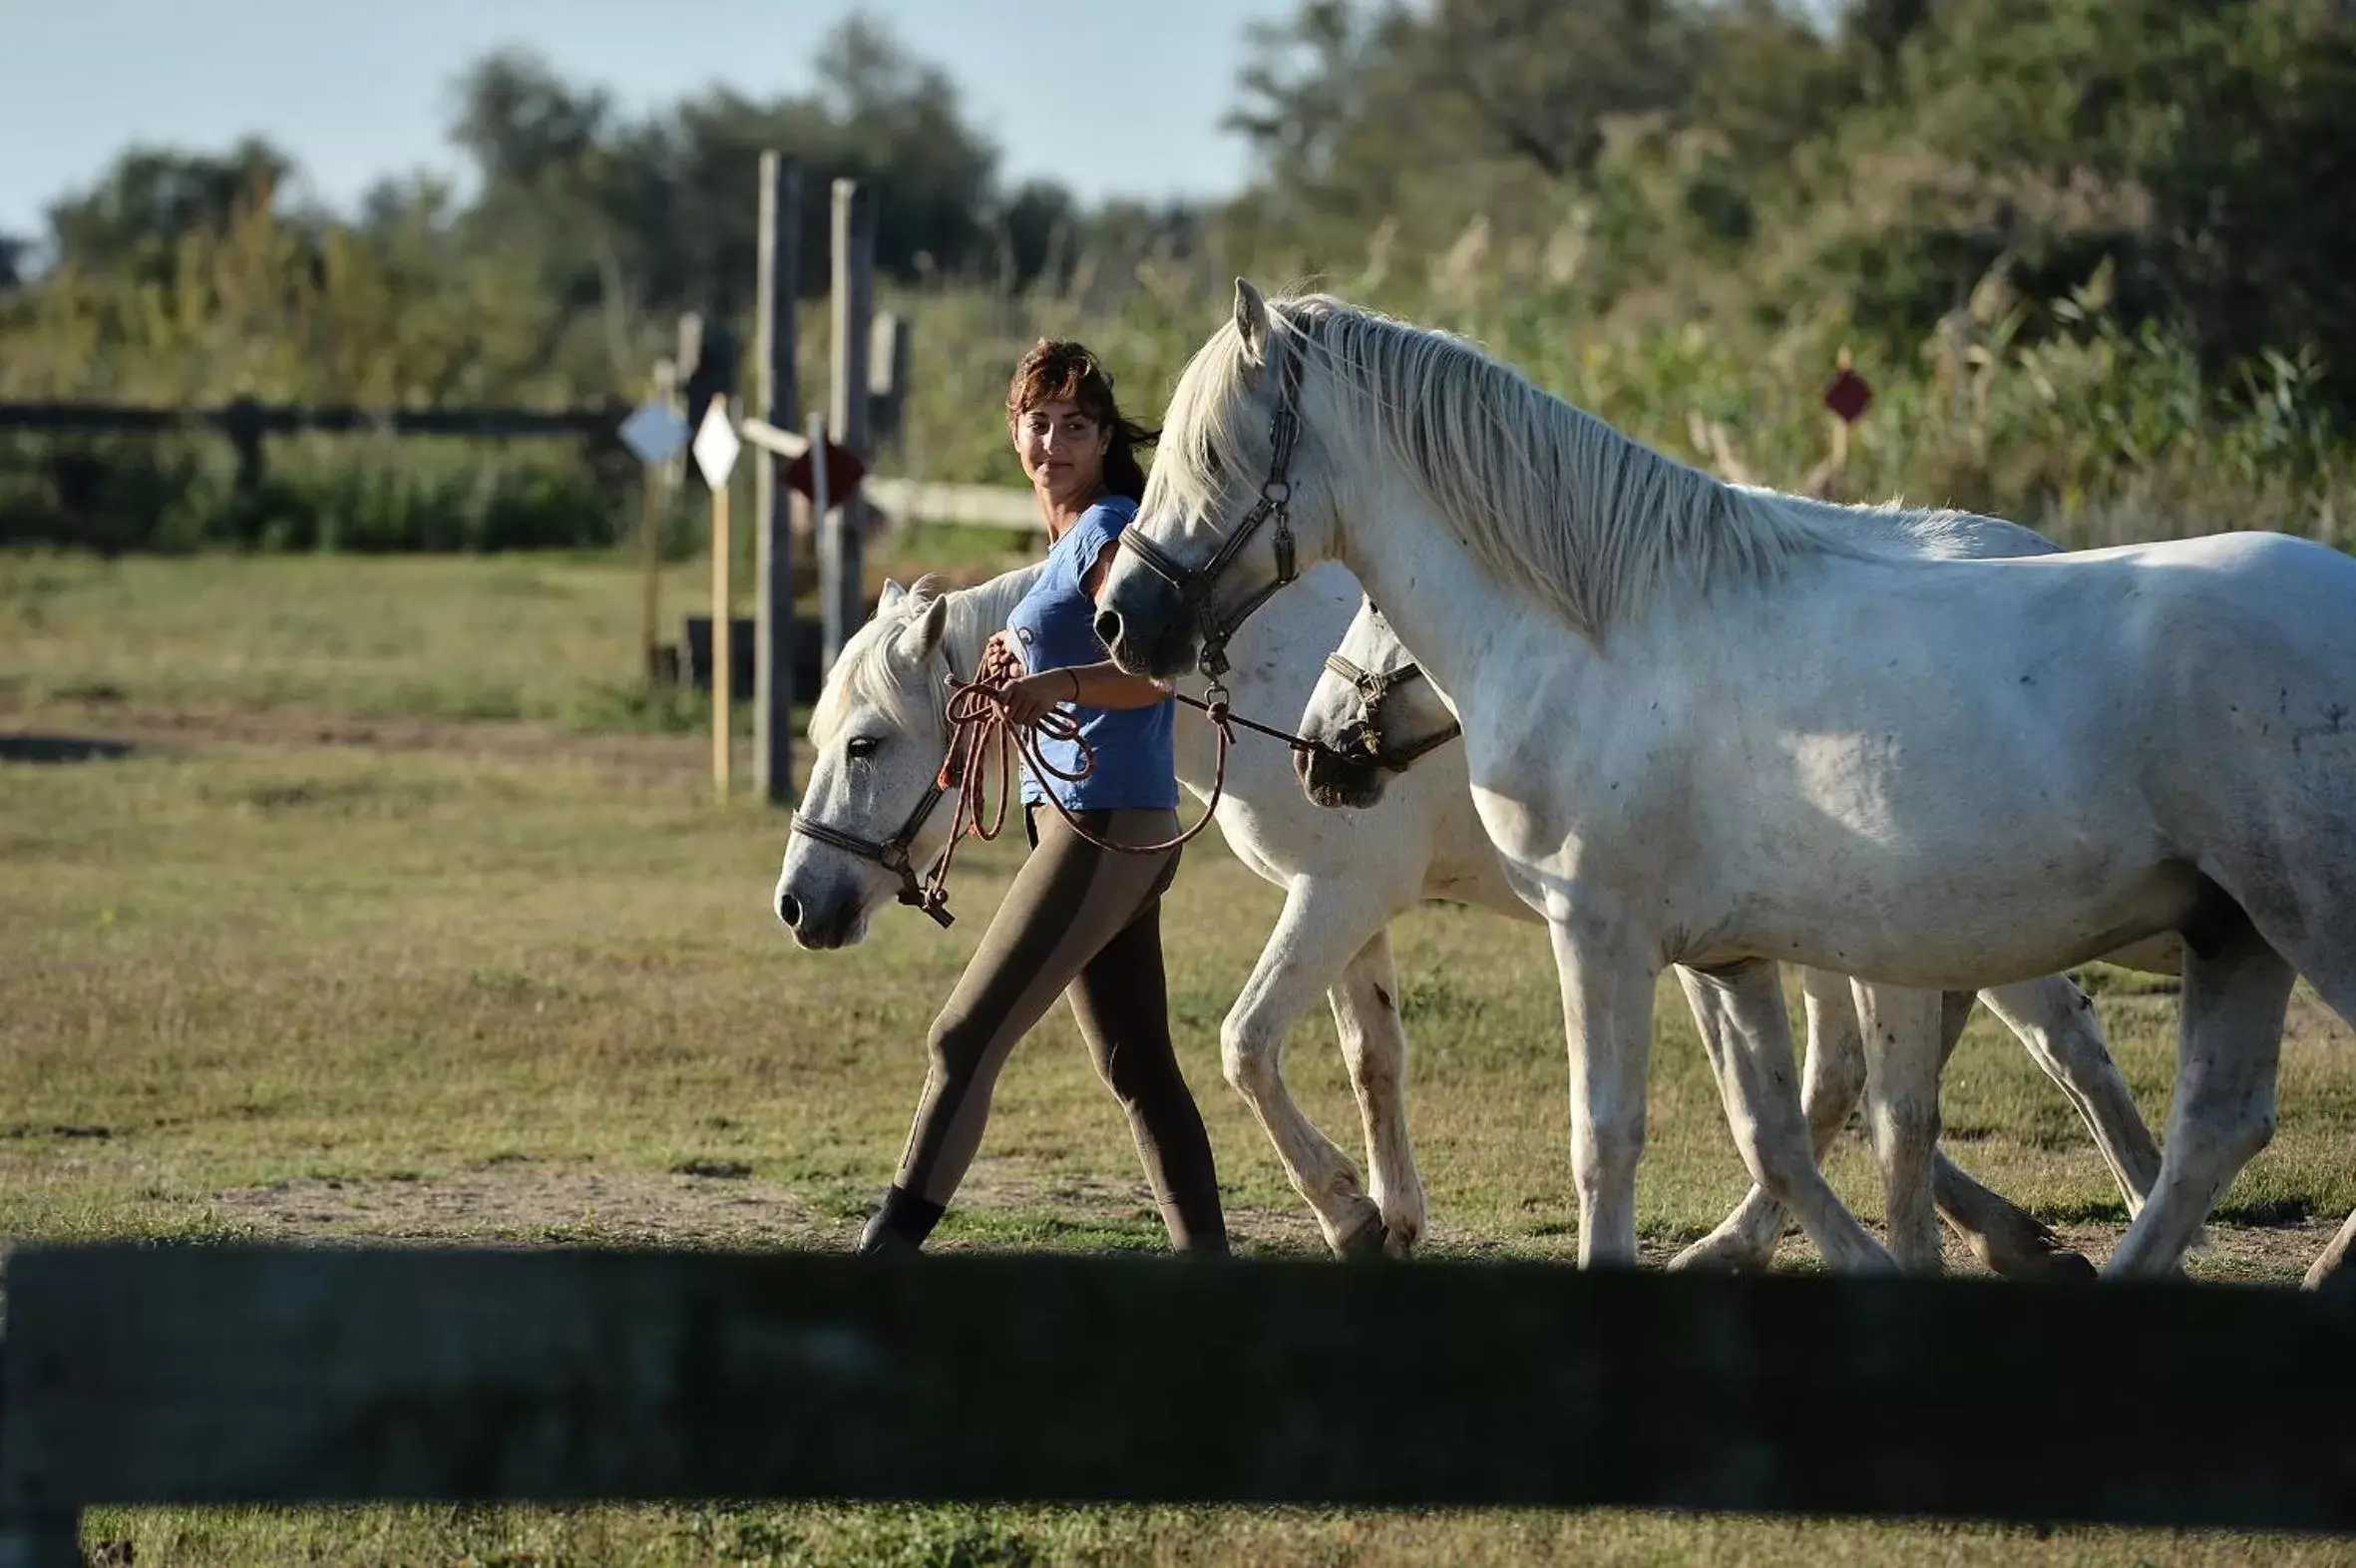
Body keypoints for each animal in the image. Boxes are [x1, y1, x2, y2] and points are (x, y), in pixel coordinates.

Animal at [768, 548, 2158, 1271]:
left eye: (868, 745)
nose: (798, 904)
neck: (1261, 686)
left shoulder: (1335, 894)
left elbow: (1248, 1047)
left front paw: (1344, 1210)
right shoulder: (1355, 911)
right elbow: (1369, 1057)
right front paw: (1393, 1212)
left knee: (2060, 1049)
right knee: (1858, 1081)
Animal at [1097, 283, 2356, 1281]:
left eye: (1210, 457)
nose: (1123, 617)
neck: (1604, 634)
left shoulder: (1595, 934)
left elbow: (1607, 1139)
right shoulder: (1727, 956)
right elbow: (1775, 1132)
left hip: (2282, 928)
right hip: (2230, 935)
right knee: (2208, 1131)